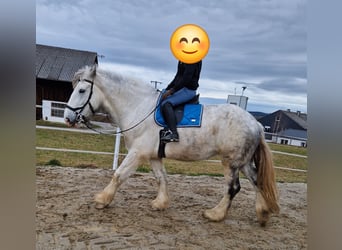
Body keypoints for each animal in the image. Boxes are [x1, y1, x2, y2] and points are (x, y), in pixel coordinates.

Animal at [65, 63, 280, 226]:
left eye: (82, 90)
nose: (68, 118)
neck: (139, 107)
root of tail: (256, 124)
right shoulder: (153, 156)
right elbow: (161, 178)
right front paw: (160, 203)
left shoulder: (137, 153)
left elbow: (118, 175)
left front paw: (102, 200)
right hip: (243, 163)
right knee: (257, 181)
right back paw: (262, 214)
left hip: (231, 163)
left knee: (233, 188)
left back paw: (215, 214)